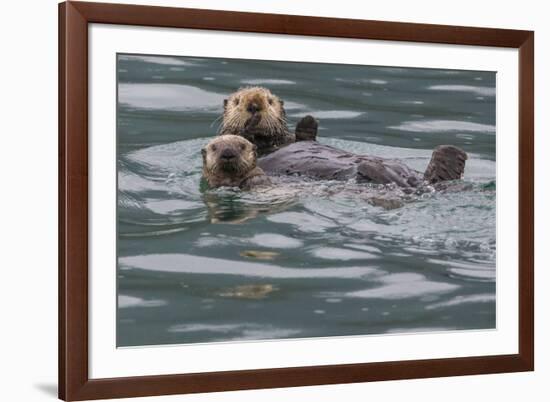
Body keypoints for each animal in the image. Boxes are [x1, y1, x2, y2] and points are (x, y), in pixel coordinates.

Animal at [221, 86, 470, 187]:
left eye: (270, 101)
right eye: (237, 101)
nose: (254, 105)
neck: (271, 143)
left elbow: (305, 137)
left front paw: (308, 120)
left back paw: (453, 155)